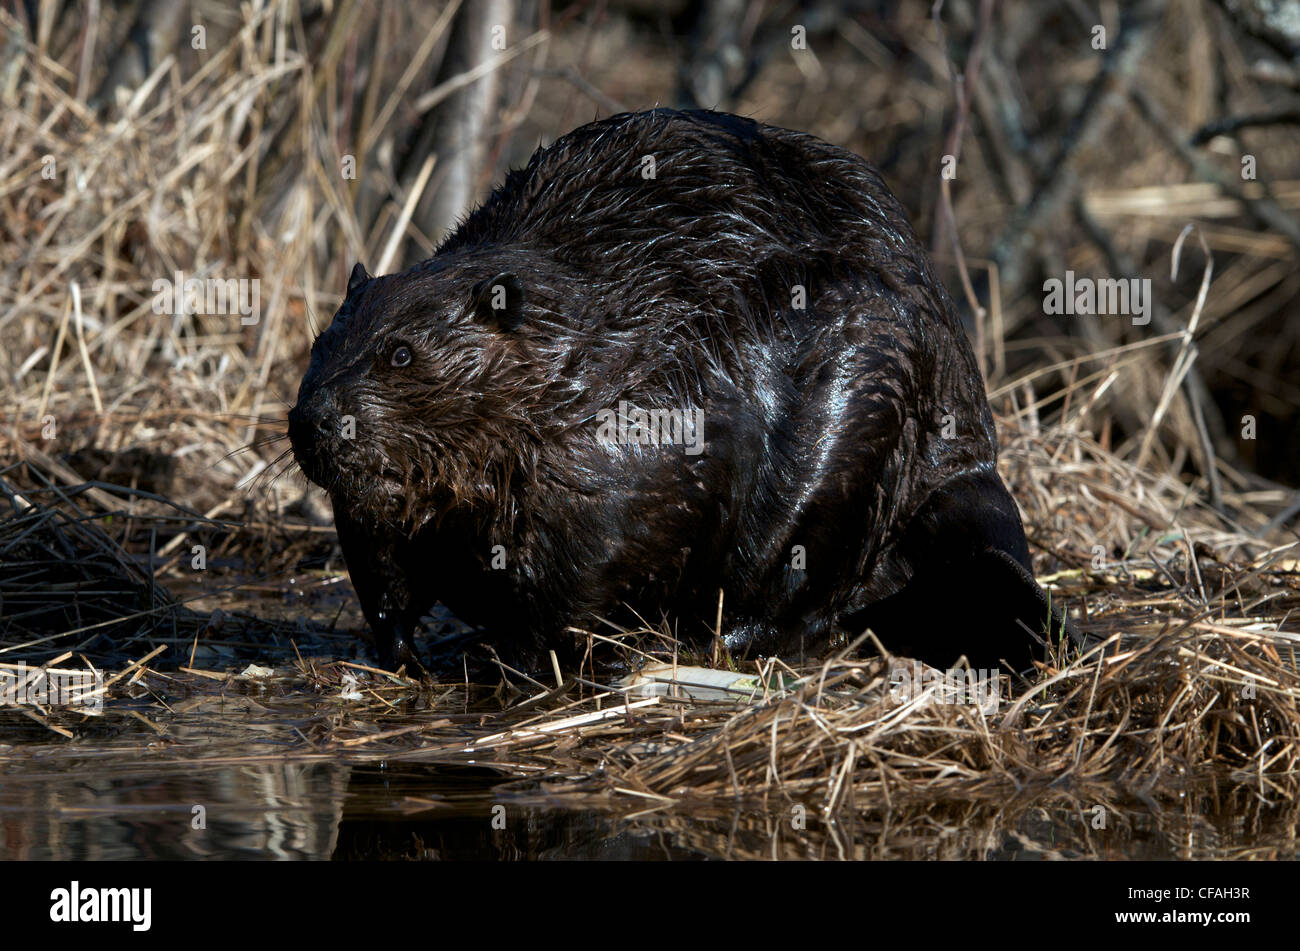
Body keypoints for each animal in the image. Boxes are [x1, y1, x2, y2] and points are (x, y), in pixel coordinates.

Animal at [289, 109, 1071, 675]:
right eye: (321, 343)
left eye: (400, 353)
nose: (314, 422)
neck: (584, 348)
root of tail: (968, 460)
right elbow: (380, 565)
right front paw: (403, 651)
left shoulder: (626, 449)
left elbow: (583, 569)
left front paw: (515, 656)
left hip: (863, 405)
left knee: (806, 590)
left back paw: (709, 642)